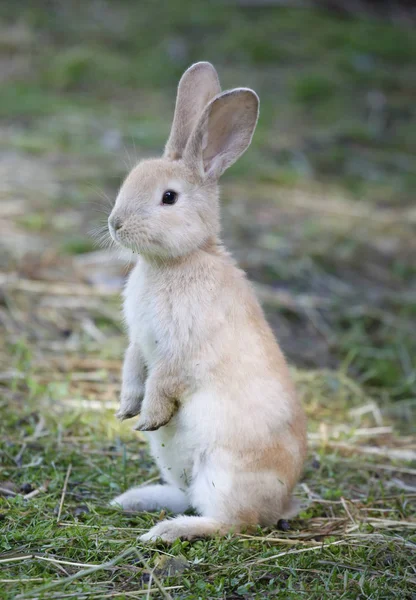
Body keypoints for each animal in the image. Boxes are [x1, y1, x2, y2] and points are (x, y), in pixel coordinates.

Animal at [107, 62, 308, 544]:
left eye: (169, 197)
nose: (115, 224)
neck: (176, 261)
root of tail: (281, 504)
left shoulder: (181, 348)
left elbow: (164, 381)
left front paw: (147, 417)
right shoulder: (138, 342)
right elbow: (133, 368)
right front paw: (126, 409)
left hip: (223, 472)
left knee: (231, 522)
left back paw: (165, 532)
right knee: (188, 496)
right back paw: (136, 501)